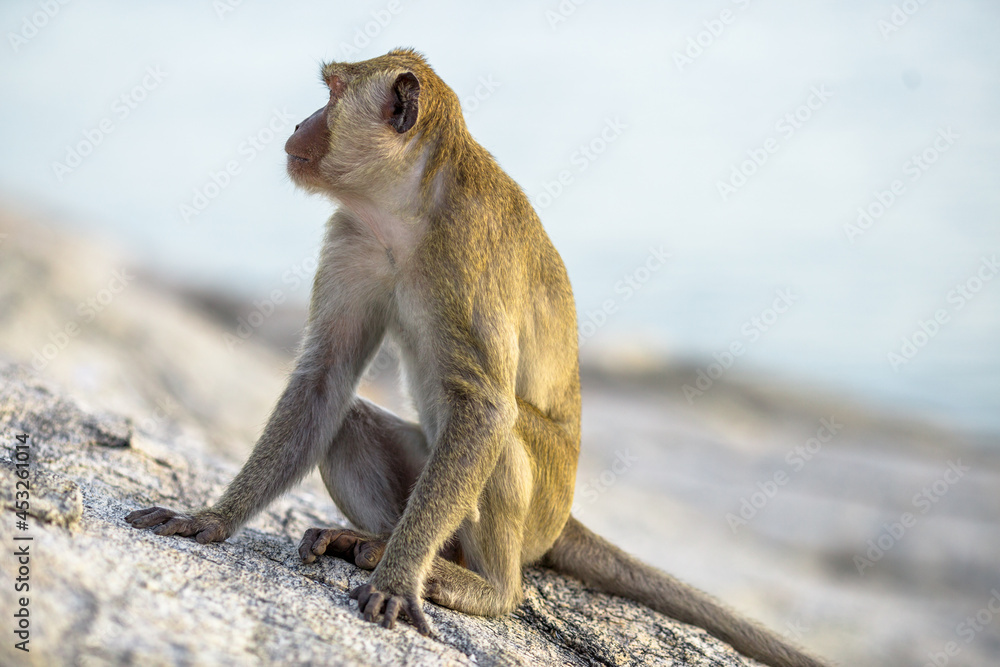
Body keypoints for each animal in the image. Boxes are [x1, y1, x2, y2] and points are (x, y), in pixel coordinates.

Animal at [125, 48, 829, 667]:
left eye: (330, 94)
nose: (299, 124)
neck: (409, 209)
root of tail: (564, 520)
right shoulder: (354, 237)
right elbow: (325, 376)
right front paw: (212, 519)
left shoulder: (466, 255)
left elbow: (485, 407)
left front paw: (398, 581)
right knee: (353, 422)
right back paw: (384, 545)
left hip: (533, 513)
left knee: (505, 433)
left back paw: (479, 587)